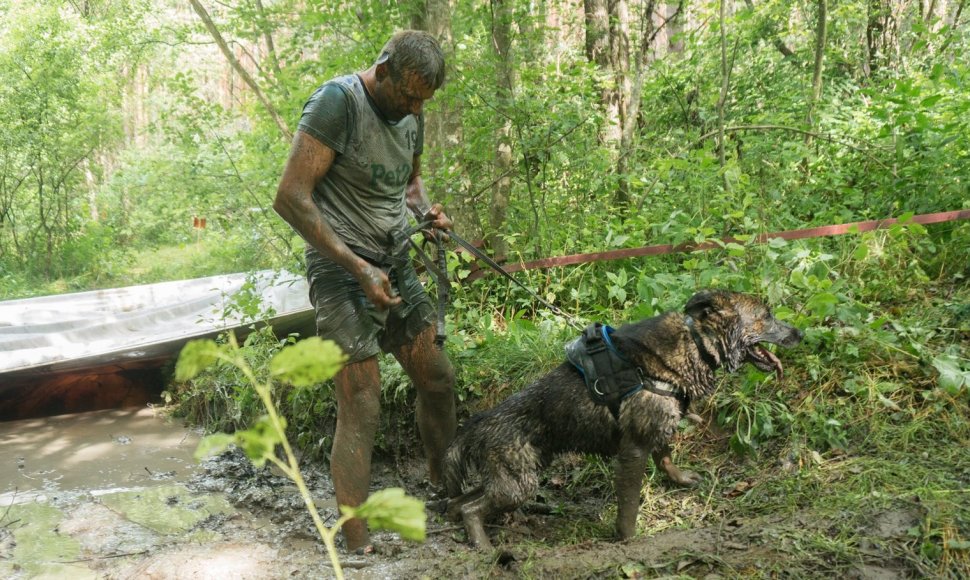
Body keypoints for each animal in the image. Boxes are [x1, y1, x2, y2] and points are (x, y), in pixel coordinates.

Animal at [440, 290, 800, 548]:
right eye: (766, 316)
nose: (800, 333)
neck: (695, 343)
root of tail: (475, 425)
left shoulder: (658, 429)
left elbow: (666, 459)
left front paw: (681, 480)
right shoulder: (634, 449)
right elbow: (628, 505)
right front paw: (627, 538)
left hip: (513, 477)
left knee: (461, 501)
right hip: (518, 485)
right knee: (472, 507)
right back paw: (484, 546)